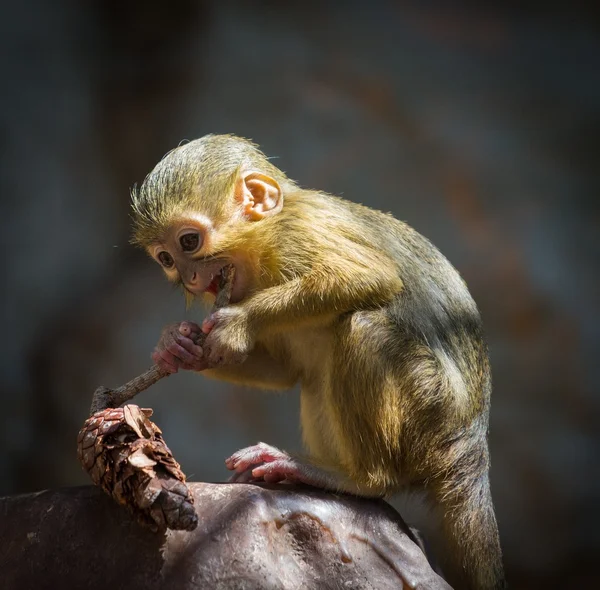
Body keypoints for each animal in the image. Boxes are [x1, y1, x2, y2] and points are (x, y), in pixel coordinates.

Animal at [132, 135, 506, 590]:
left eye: (189, 242)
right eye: (167, 259)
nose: (188, 277)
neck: (261, 249)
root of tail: (470, 449)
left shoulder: (297, 234)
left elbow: (373, 277)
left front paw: (239, 322)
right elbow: (286, 370)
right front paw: (176, 346)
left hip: (433, 415)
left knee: (365, 324)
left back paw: (353, 478)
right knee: (314, 373)